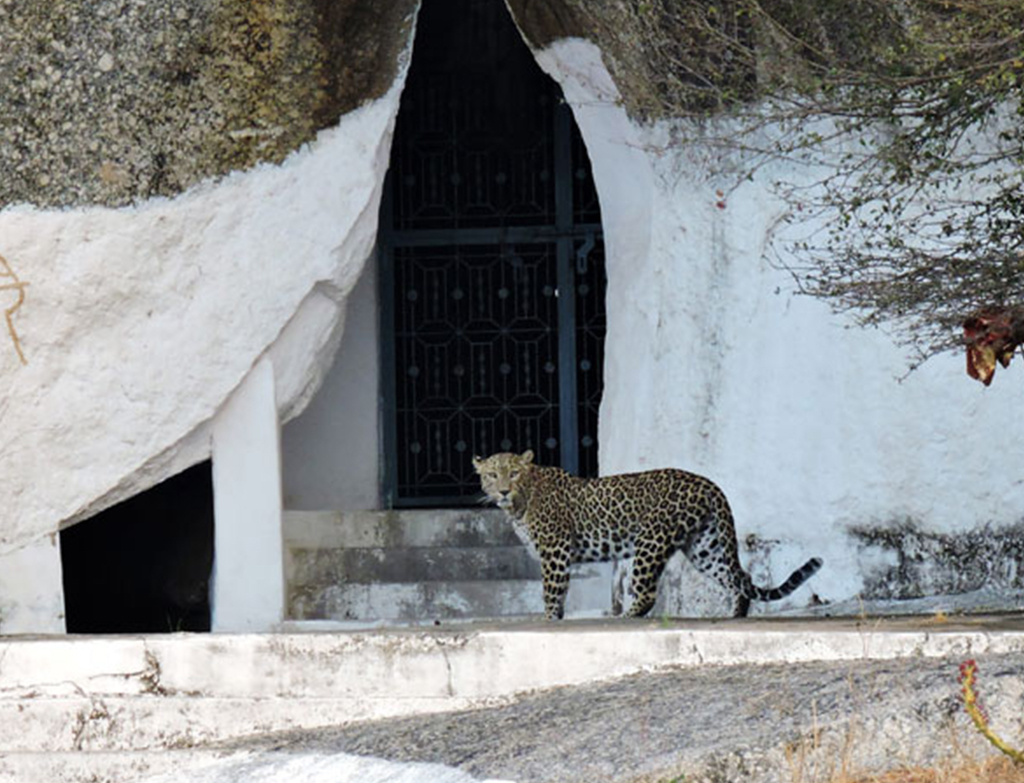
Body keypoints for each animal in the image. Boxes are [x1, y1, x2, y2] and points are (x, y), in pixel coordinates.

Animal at [473, 449, 822, 620]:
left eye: (513, 473)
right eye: (492, 475)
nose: (503, 491)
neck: (522, 501)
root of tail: (709, 484)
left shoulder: (555, 549)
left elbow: (552, 590)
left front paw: (548, 620)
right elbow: (558, 593)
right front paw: (555, 618)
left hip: (651, 540)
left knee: (647, 593)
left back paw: (625, 616)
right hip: (705, 546)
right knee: (741, 576)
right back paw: (736, 613)